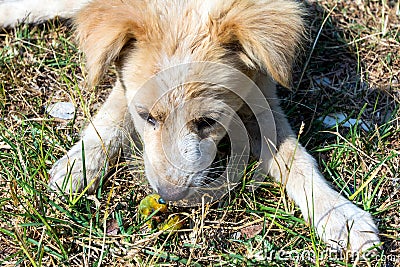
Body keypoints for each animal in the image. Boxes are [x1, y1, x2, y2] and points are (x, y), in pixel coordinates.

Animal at [0, 0, 382, 253]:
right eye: (148, 117)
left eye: (208, 122)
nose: (169, 198)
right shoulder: (126, 85)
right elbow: (111, 115)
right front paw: (80, 163)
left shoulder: (262, 99)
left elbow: (298, 161)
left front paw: (339, 215)